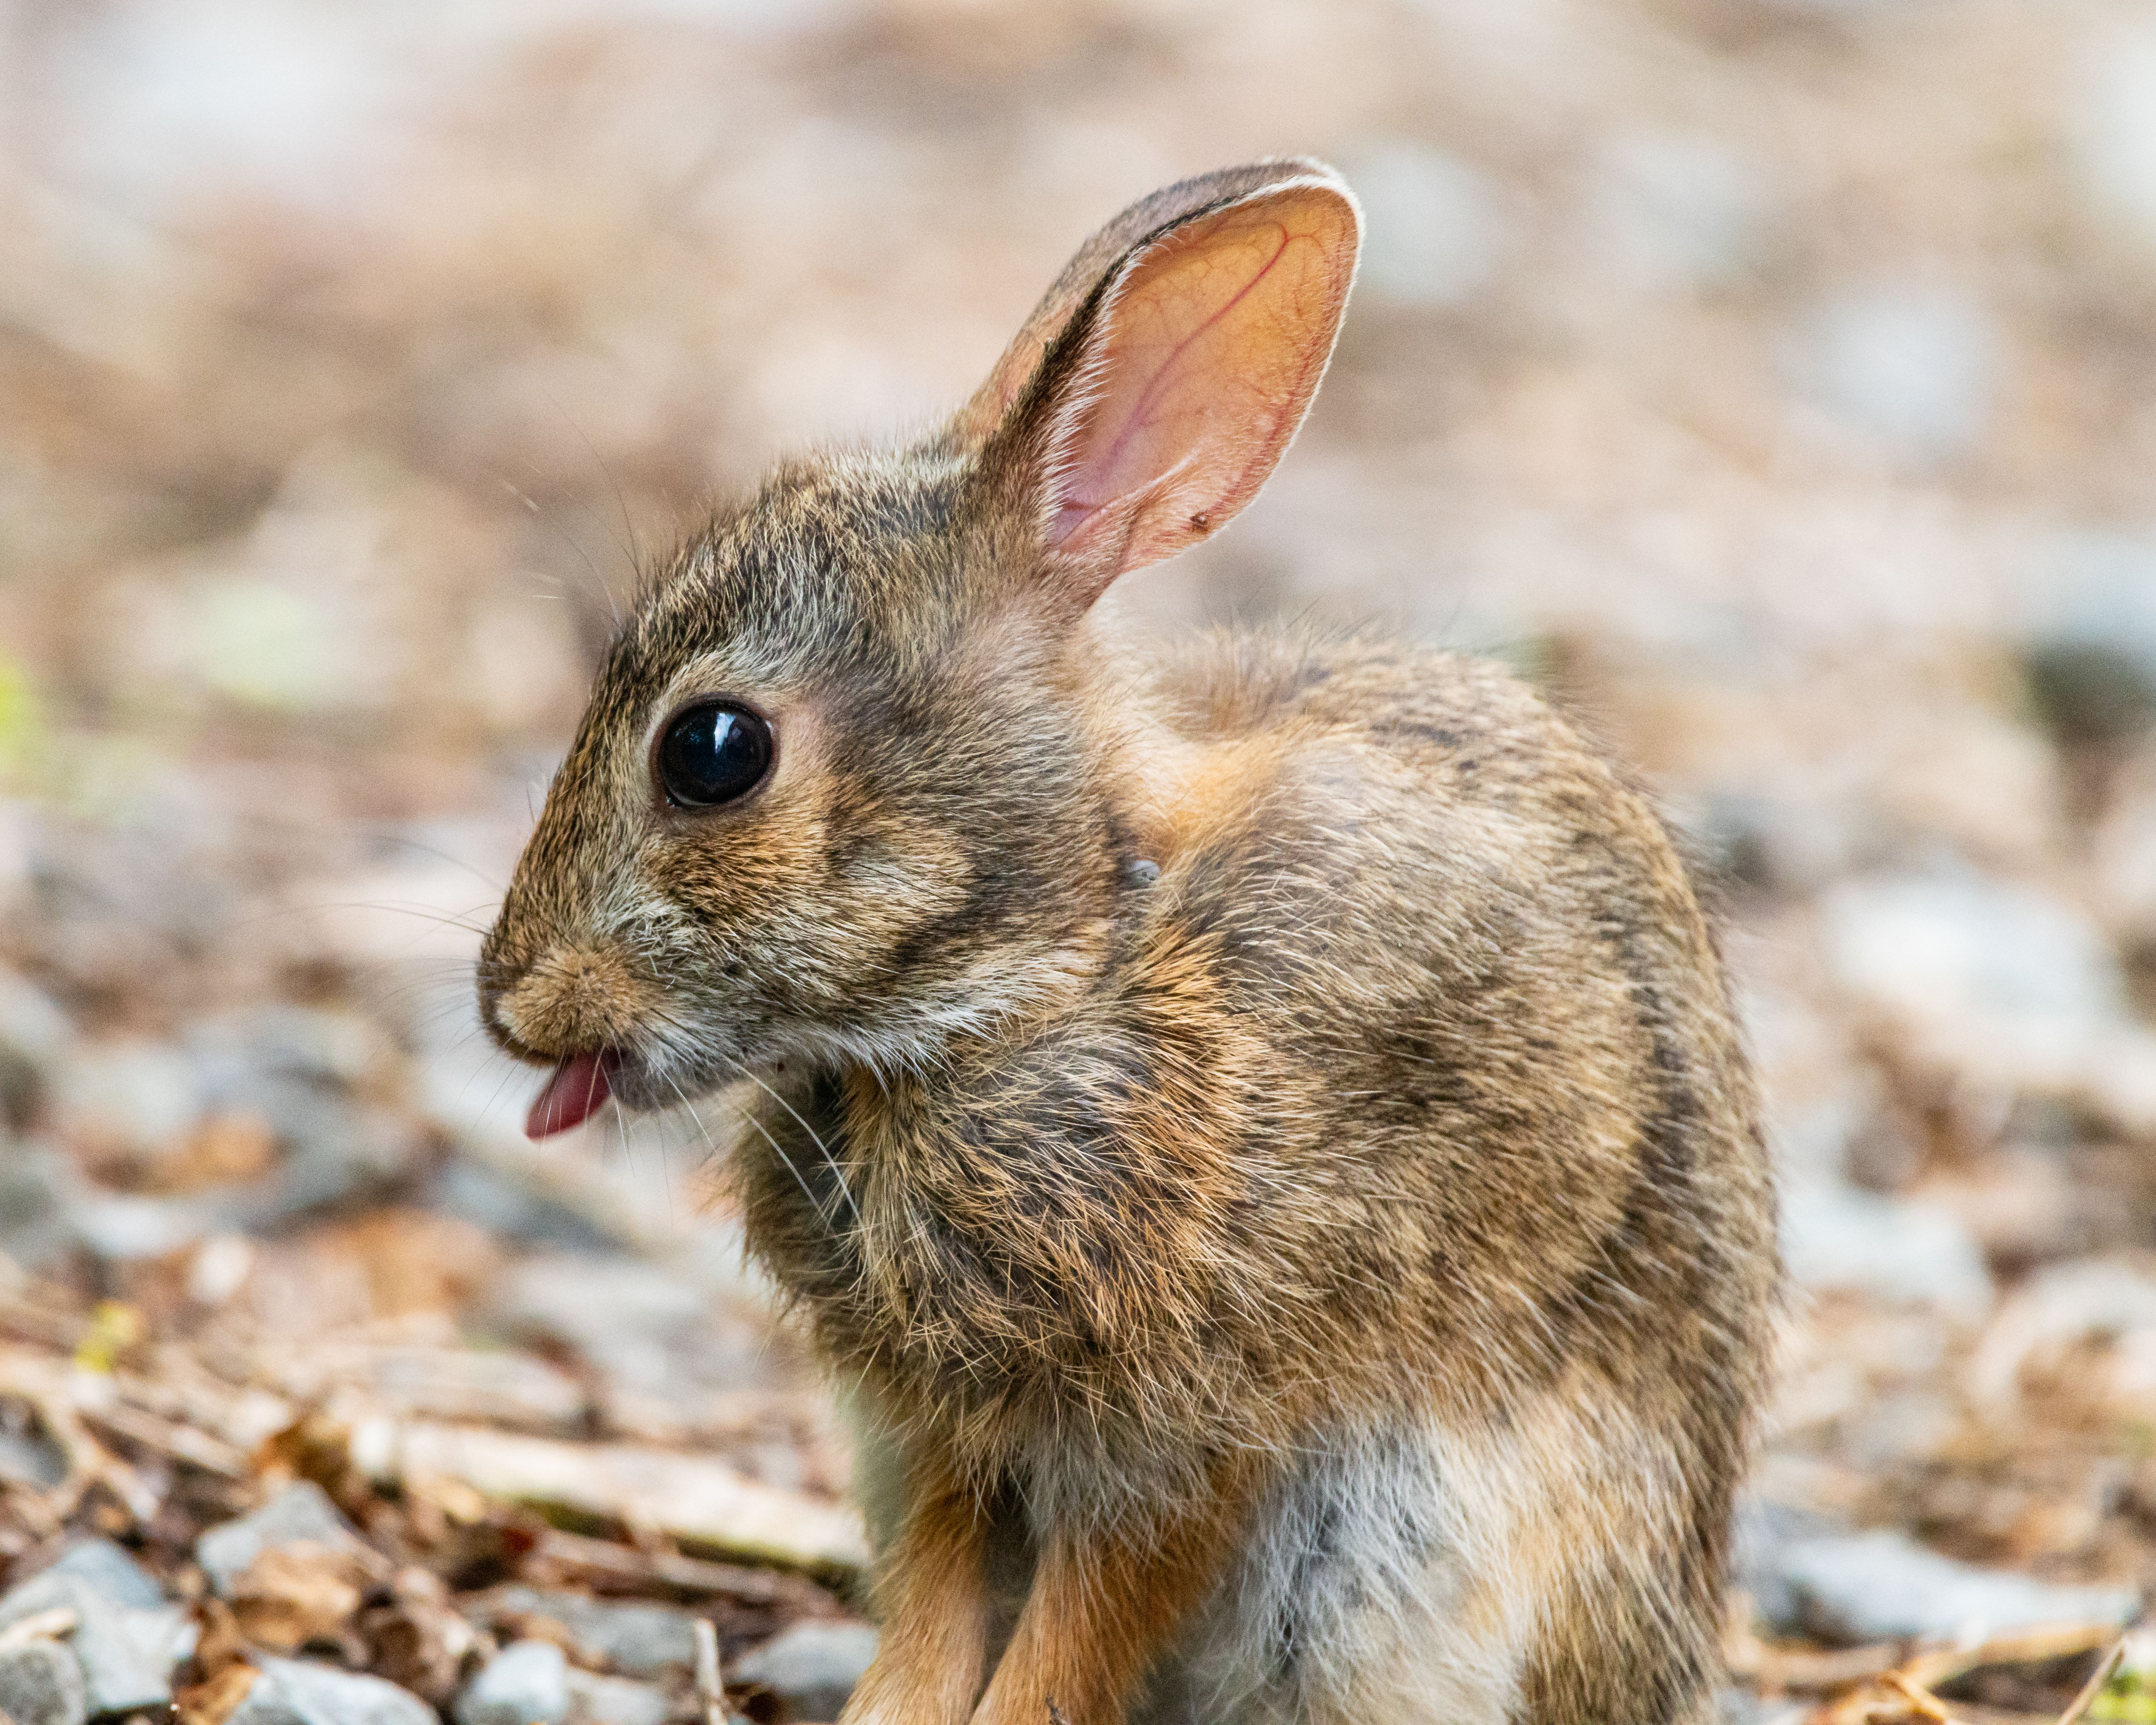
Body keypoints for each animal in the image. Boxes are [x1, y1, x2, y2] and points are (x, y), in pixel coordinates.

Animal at [479, 158, 1779, 1725]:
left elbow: (1075, 1638)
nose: (509, 1002)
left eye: (713, 750)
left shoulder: (1195, 1429)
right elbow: (936, 1614)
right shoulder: (945, 1436)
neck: (1057, 965)